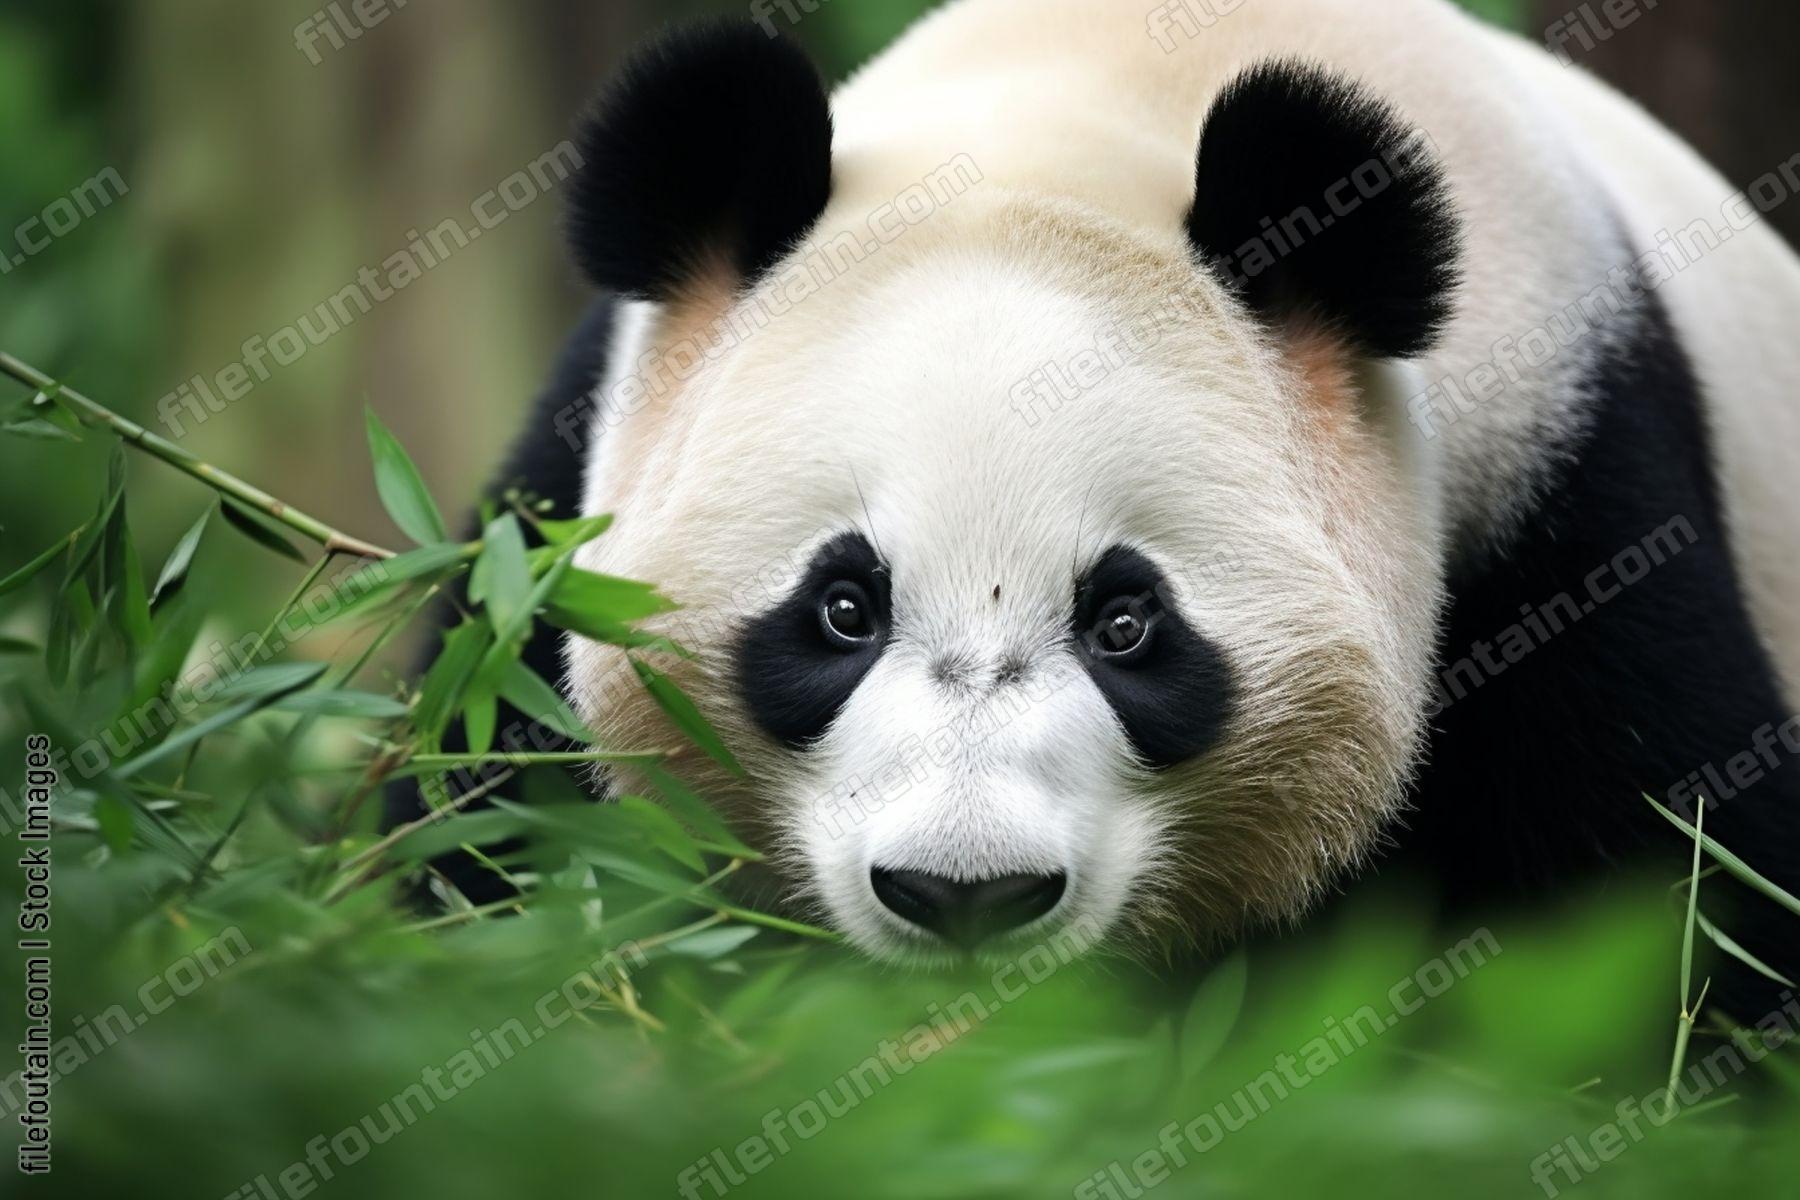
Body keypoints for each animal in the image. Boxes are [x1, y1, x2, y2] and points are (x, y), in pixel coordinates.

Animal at [394, 0, 1800, 1012]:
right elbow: (480, 829)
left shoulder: (1566, 492)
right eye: (842, 608)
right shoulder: (555, 518)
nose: (965, 894)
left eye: (1128, 623)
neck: (1107, 96)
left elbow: (1670, 901)